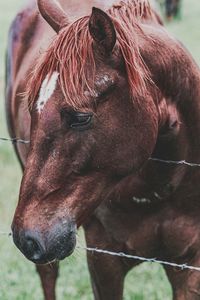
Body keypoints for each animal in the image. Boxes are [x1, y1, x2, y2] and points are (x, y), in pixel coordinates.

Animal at [5, 0, 200, 298]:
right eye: (31, 108)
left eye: (80, 117)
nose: (27, 238)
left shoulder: (188, 267)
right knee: (48, 275)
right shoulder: (104, 262)